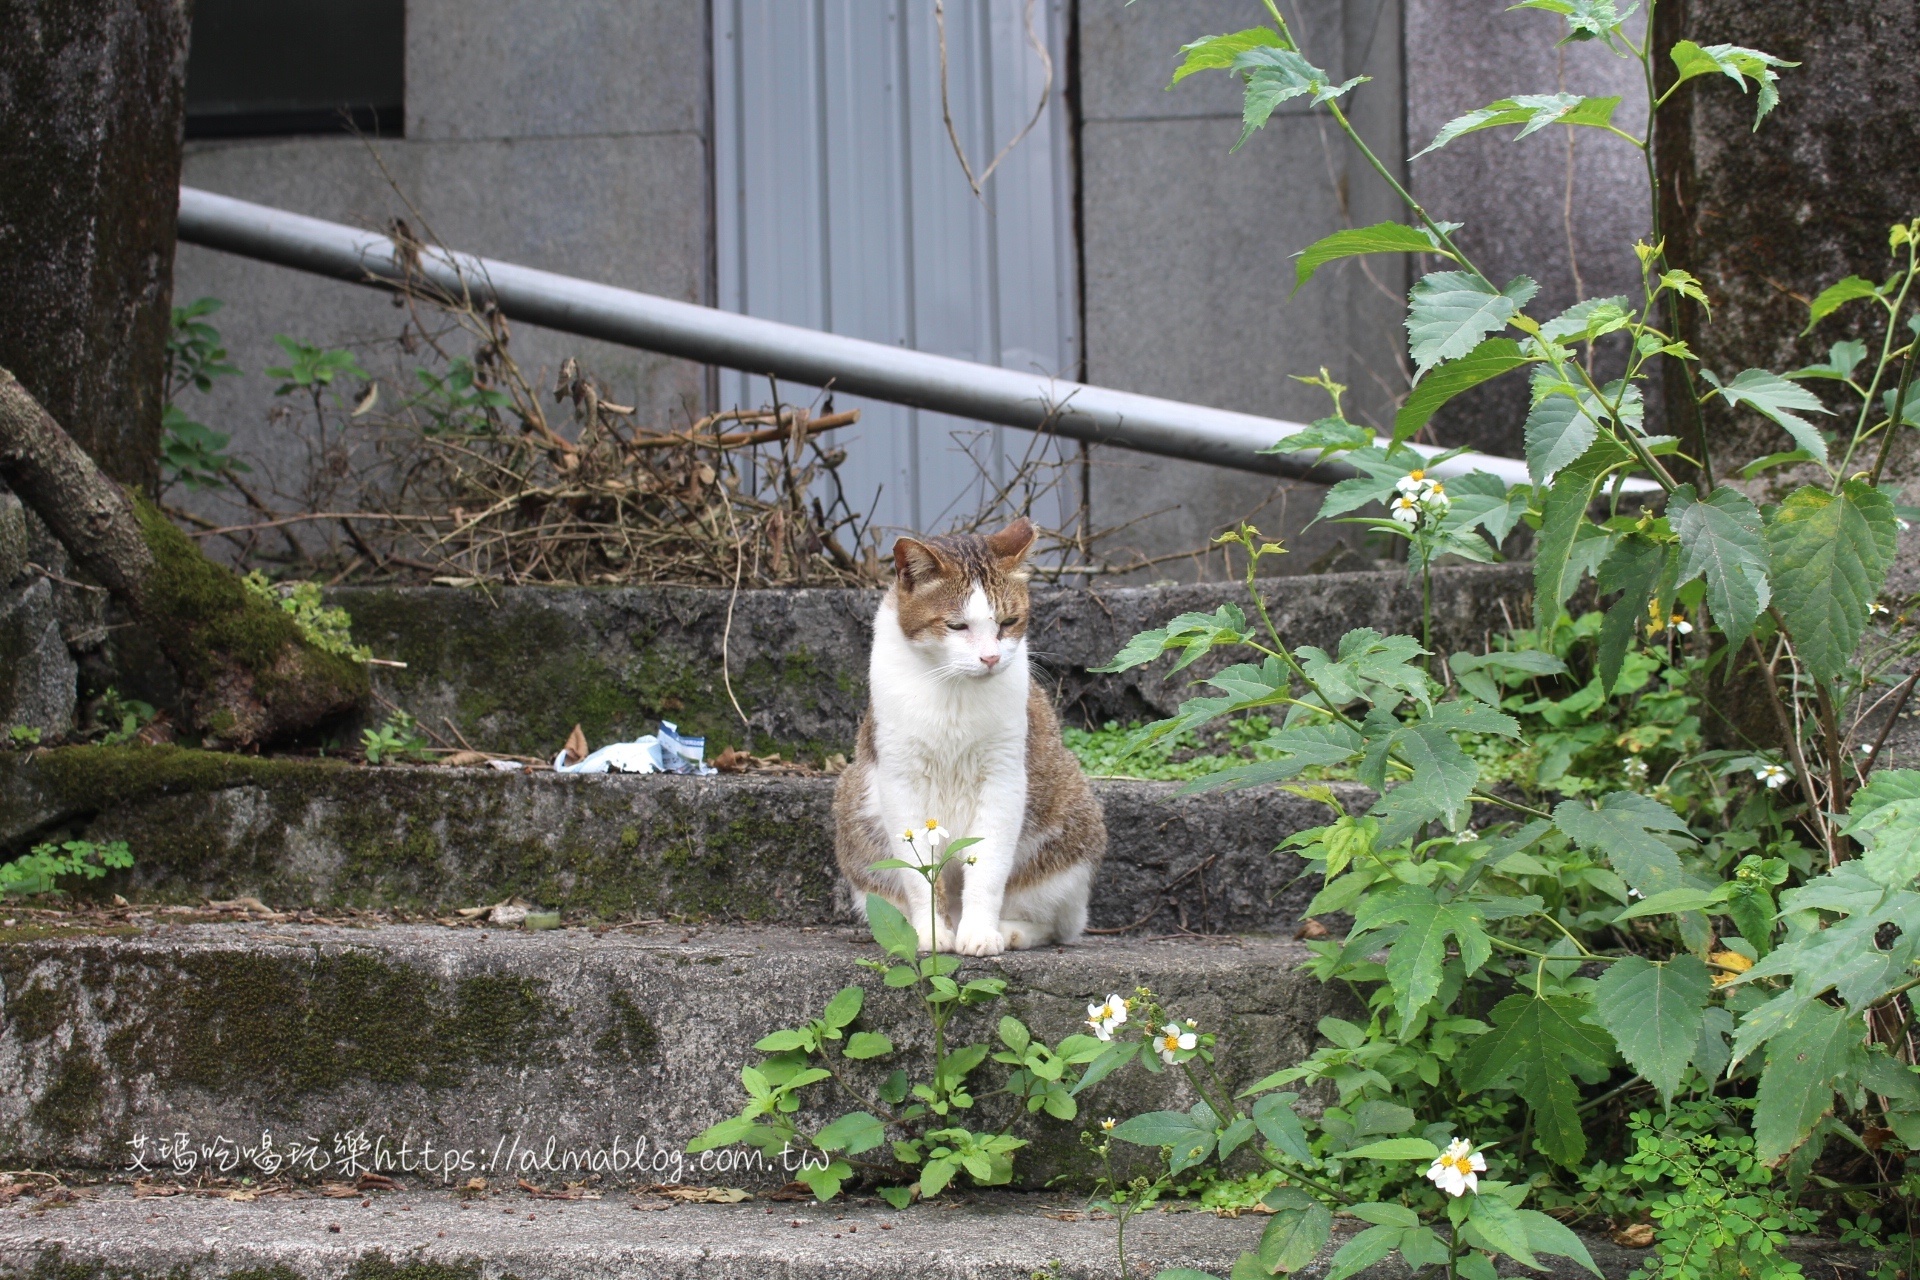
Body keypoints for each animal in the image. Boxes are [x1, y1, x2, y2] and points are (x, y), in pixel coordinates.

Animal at [829, 514, 1113, 955]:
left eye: (1008, 622)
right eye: (957, 625)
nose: (991, 657)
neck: (953, 689)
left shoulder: (1003, 776)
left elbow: (988, 866)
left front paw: (980, 932)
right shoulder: (898, 778)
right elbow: (919, 875)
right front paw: (929, 935)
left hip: (1071, 825)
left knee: (1061, 923)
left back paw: (1012, 931)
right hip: (853, 808)